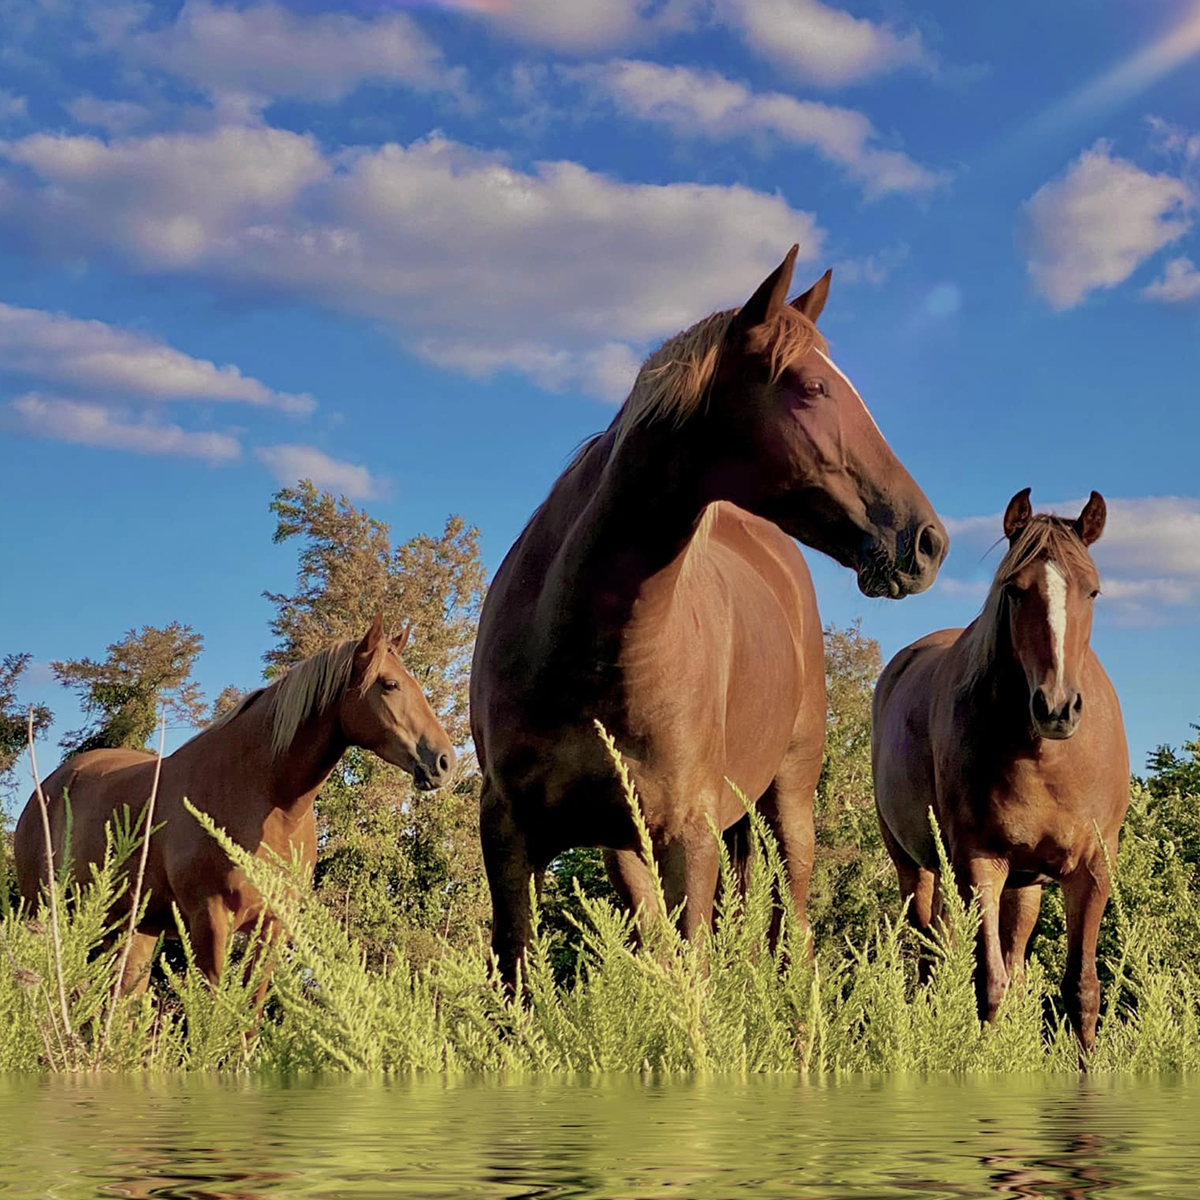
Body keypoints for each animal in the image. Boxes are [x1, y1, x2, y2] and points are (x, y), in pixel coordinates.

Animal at [14, 615, 456, 993]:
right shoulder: (210, 921)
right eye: (390, 684)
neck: (261, 794)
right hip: (47, 914)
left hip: (131, 927)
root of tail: (47, 787)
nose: (444, 761)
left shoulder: (272, 927)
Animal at [470, 245, 949, 985]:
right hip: (631, 848)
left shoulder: (688, 838)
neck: (581, 646)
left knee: (789, 933)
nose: (926, 542)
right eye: (812, 387)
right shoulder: (509, 835)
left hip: (788, 808)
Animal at [871, 489, 1129, 1052]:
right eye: (1013, 590)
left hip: (1024, 885)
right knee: (930, 956)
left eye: (1093, 591)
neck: (1045, 760)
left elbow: (1081, 991)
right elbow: (986, 985)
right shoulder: (980, 864)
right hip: (916, 867)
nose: (1056, 707)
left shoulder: (1091, 871)